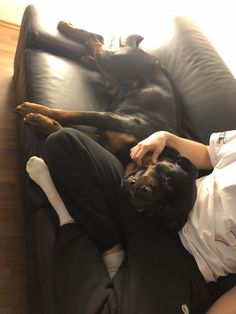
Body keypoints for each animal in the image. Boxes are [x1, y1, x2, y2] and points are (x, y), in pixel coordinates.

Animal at [15, 22, 180, 174]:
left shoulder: (102, 140)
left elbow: (62, 127)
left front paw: (41, 121)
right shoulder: (107, 118)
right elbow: (68, 114)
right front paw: (32, 109)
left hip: (112, 75)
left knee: (98, 49)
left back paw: (87, 58)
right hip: (112, 59)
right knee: (96, 40)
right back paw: (66, 27)